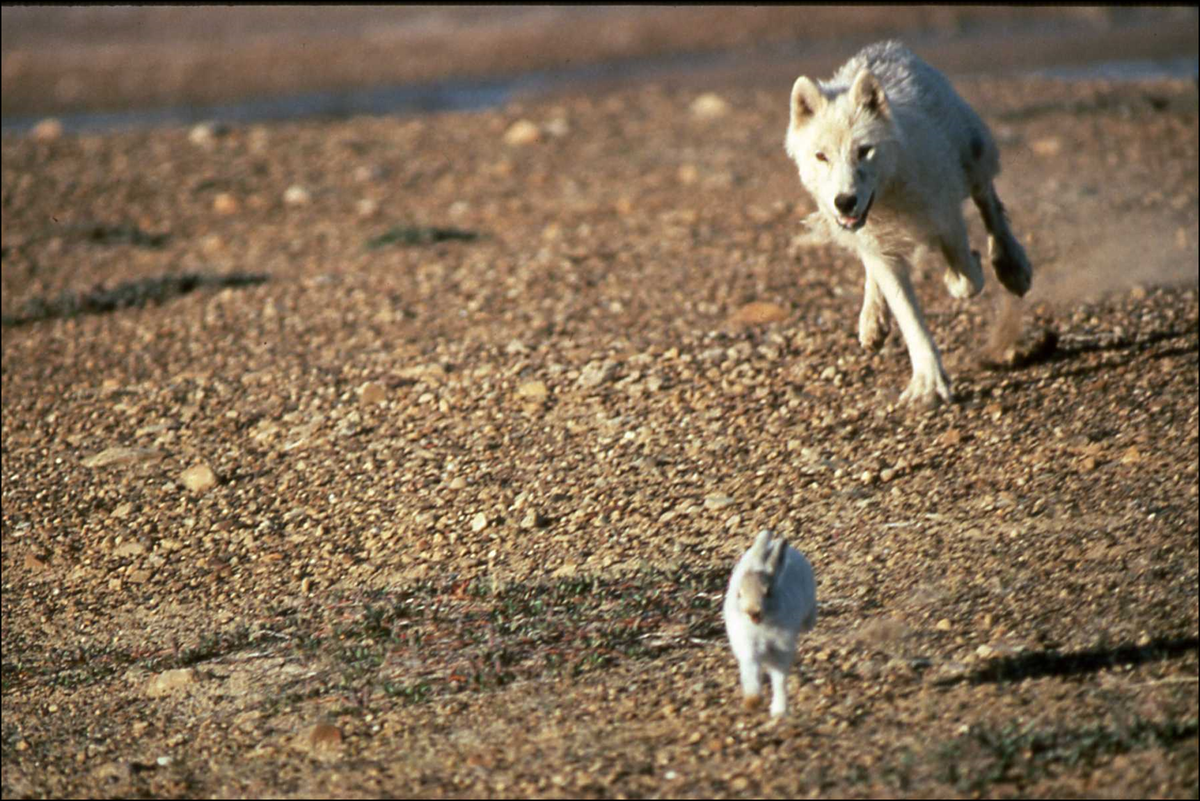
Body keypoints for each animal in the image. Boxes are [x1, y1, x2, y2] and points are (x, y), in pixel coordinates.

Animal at [787, 41, 1032, 407]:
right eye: (821, 156)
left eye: (864, 151)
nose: (844, 201)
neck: (891, 190)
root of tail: (888, 47)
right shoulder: (878, 245)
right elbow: (910, 317)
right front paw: (928, 382)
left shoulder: (946, 215)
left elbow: (967, 277)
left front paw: (967, 272)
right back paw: (872, 323)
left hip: (973, 156)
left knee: (989, 203)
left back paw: (1011, 266)